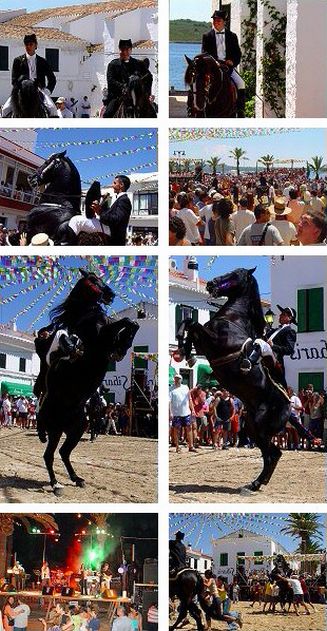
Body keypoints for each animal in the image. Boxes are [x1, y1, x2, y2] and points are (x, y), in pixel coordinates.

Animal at [34, 270, 140, 496]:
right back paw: (56, 484)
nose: (110, 295)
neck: (85, 315)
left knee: (64, 452)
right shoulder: (101, 337)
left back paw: (77, 478)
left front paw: (123, 346)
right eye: (93, 280)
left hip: (77, 428)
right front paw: (122, 346)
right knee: (49, 455)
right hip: (55, 430)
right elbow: (126, 320)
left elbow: (131, 323)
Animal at [177, 266, 292, 494]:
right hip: (253, 428)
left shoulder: (214, 342)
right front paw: (183, 348)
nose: (211, 284)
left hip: (260, 428)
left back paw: (256, 484)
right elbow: (189, 324)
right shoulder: (205, 345)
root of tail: (290, 406)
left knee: (273, 454)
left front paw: (184, 349)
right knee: (270, 454)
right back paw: (255, 484)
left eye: (235, 274)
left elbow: (193, 324)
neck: (234, 318)